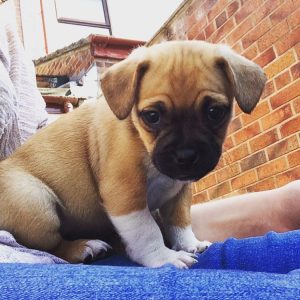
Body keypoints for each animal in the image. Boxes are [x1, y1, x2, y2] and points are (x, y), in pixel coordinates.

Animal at [0, 41, 268, 268]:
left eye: (215, 112)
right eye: (152, 116)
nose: (186, 154)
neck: (143, 142)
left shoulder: (179, 191)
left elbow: (180, 221)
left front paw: (189, 244)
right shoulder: (125, 195)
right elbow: (147, 231)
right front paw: (164, 258)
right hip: (36, 203)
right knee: (51, 246)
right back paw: (85, 247)